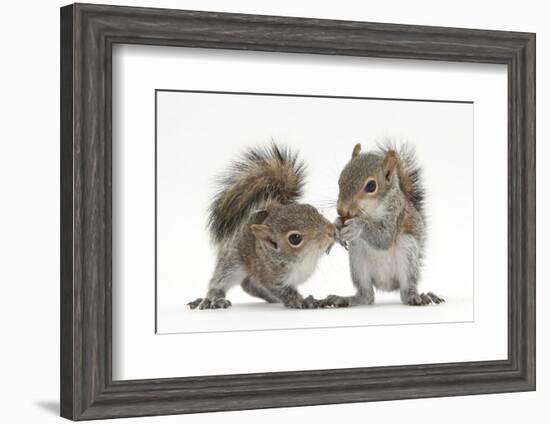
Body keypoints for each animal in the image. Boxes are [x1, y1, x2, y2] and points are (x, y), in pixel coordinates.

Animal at [189, 144, 336, 310]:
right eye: (295, 238)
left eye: (311, 208)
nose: (331, 231)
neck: (304, 259)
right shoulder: (267, 276)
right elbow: (282, 291)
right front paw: (299, 301)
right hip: (232, 261)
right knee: (221, 280)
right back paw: (213, 298)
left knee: (249, 285)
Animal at [324, 144, 444, 306]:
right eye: (340, 179)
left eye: (371, 186)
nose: (341, 210)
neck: (371, 210)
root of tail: (386, 285)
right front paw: (336, 225)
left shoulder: (395, 214)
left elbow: (384, 238)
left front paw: (356, 226)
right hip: (357, 258)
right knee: (367, 296)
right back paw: (345, 299)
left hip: (407, 251)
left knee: (405, 291)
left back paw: (416, 297)